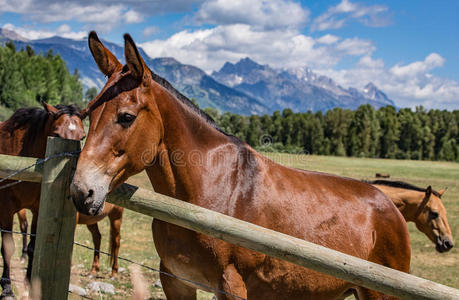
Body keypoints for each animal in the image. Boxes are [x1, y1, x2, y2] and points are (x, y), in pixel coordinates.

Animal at [0, 102, 86, 298]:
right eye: (56, 133)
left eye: (82, 137)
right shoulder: (6, 209)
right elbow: (7, 248)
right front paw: (7, 289)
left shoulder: (38, 209)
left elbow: (33, 246)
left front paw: (30, 283)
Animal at [72, 31, 414, 298]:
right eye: (89, 113)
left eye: (126, 117)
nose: (81, 191)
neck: (209, 193)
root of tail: (388, 204)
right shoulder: (176, 281)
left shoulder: (231, 287)